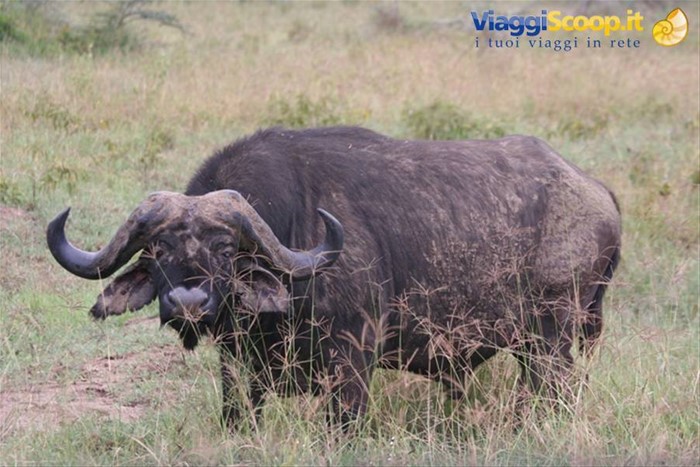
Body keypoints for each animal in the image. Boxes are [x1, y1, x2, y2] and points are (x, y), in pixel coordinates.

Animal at [47, 126, 621, 429]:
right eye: (160, 248)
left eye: (226, 250)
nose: (189, 301)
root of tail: (594, 190)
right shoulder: (238, 365)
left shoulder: (353, 360)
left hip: (551, 338)